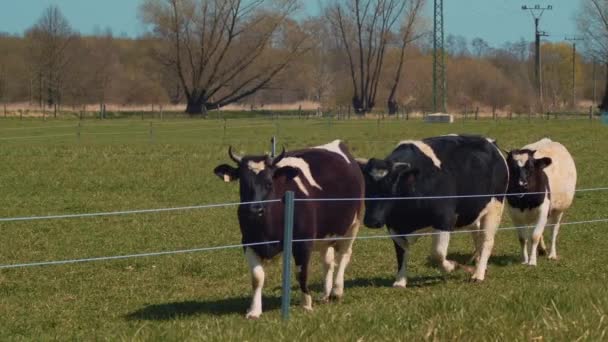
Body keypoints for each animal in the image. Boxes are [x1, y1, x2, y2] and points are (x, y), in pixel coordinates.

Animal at [215, 139, 366, 318]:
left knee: (344, 255)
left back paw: (336, 291)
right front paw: (254, 310)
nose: (254, 209)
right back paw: (325, 294)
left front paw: (306, 304)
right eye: (243, 184)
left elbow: (301, 273)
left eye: (269, 183)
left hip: (353, 225)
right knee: (328, 261)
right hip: (325, 235)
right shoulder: (249, 243)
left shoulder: (303, 243)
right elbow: (257, 277)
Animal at [356, 135, 508, 288]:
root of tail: (490, 142)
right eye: (366, 187)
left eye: (391, 187)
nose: (371, 221)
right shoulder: (394, 226)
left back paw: (478, 274)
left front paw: (452, 266)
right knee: (477, 236)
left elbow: (437, 253)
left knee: (486, 241)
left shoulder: (445, 219)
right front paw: (400, 281)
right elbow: (401, 253)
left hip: (495, 208)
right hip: (474, 212)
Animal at [506, 138, 576, 266]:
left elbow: (535, 236)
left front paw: (532, 261)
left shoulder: (543, 211)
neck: (525, 200)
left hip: (558, 210)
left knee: (553, 230)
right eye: (512, 168)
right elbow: (522, 238)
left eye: (531, 167)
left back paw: (552, 254)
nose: (522, 183)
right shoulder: (515, 214)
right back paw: (541, 249)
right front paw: (525, 259)